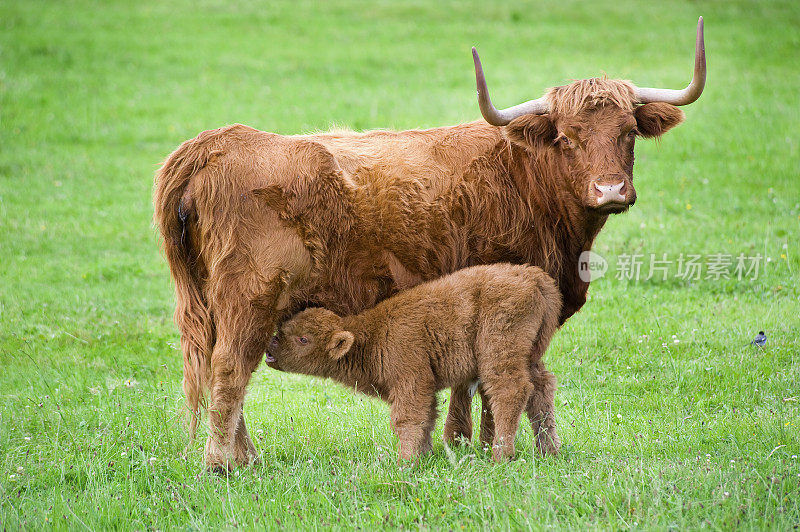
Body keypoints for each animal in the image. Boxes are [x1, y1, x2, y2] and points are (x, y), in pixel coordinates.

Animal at [156, 19, 708, 470]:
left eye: (629, 131)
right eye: (567, 137)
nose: (610, 190)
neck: (524, 176)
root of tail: (220, 142)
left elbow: (470, 380)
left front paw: (464, 443)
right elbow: (486, 382)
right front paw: (477, 444)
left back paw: (246, 456)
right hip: (249, 297)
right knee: (230, 369)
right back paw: (223, 463)